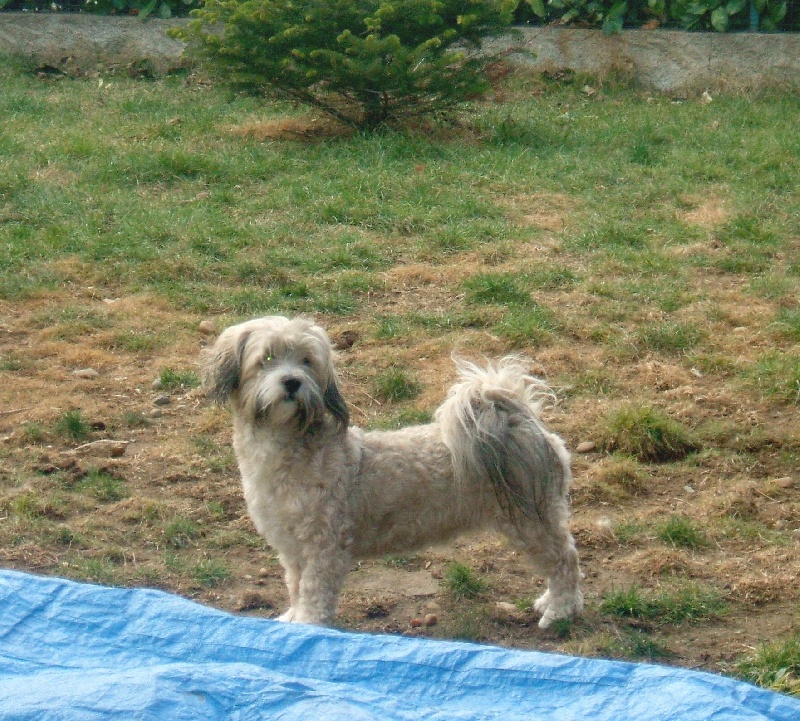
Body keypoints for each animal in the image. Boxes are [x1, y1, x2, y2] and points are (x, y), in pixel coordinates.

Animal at [203, 314, 584, 624]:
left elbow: (313, 595)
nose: (292, 382)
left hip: (529, 521)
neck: (288, 448)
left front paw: (309, 626)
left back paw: (559, 610)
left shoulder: (323, 548)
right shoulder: (293, 549)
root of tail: (524, 422)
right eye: (266, 359)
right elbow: (296, 588)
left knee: (565, 561)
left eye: (307, 361)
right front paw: (292, 620)